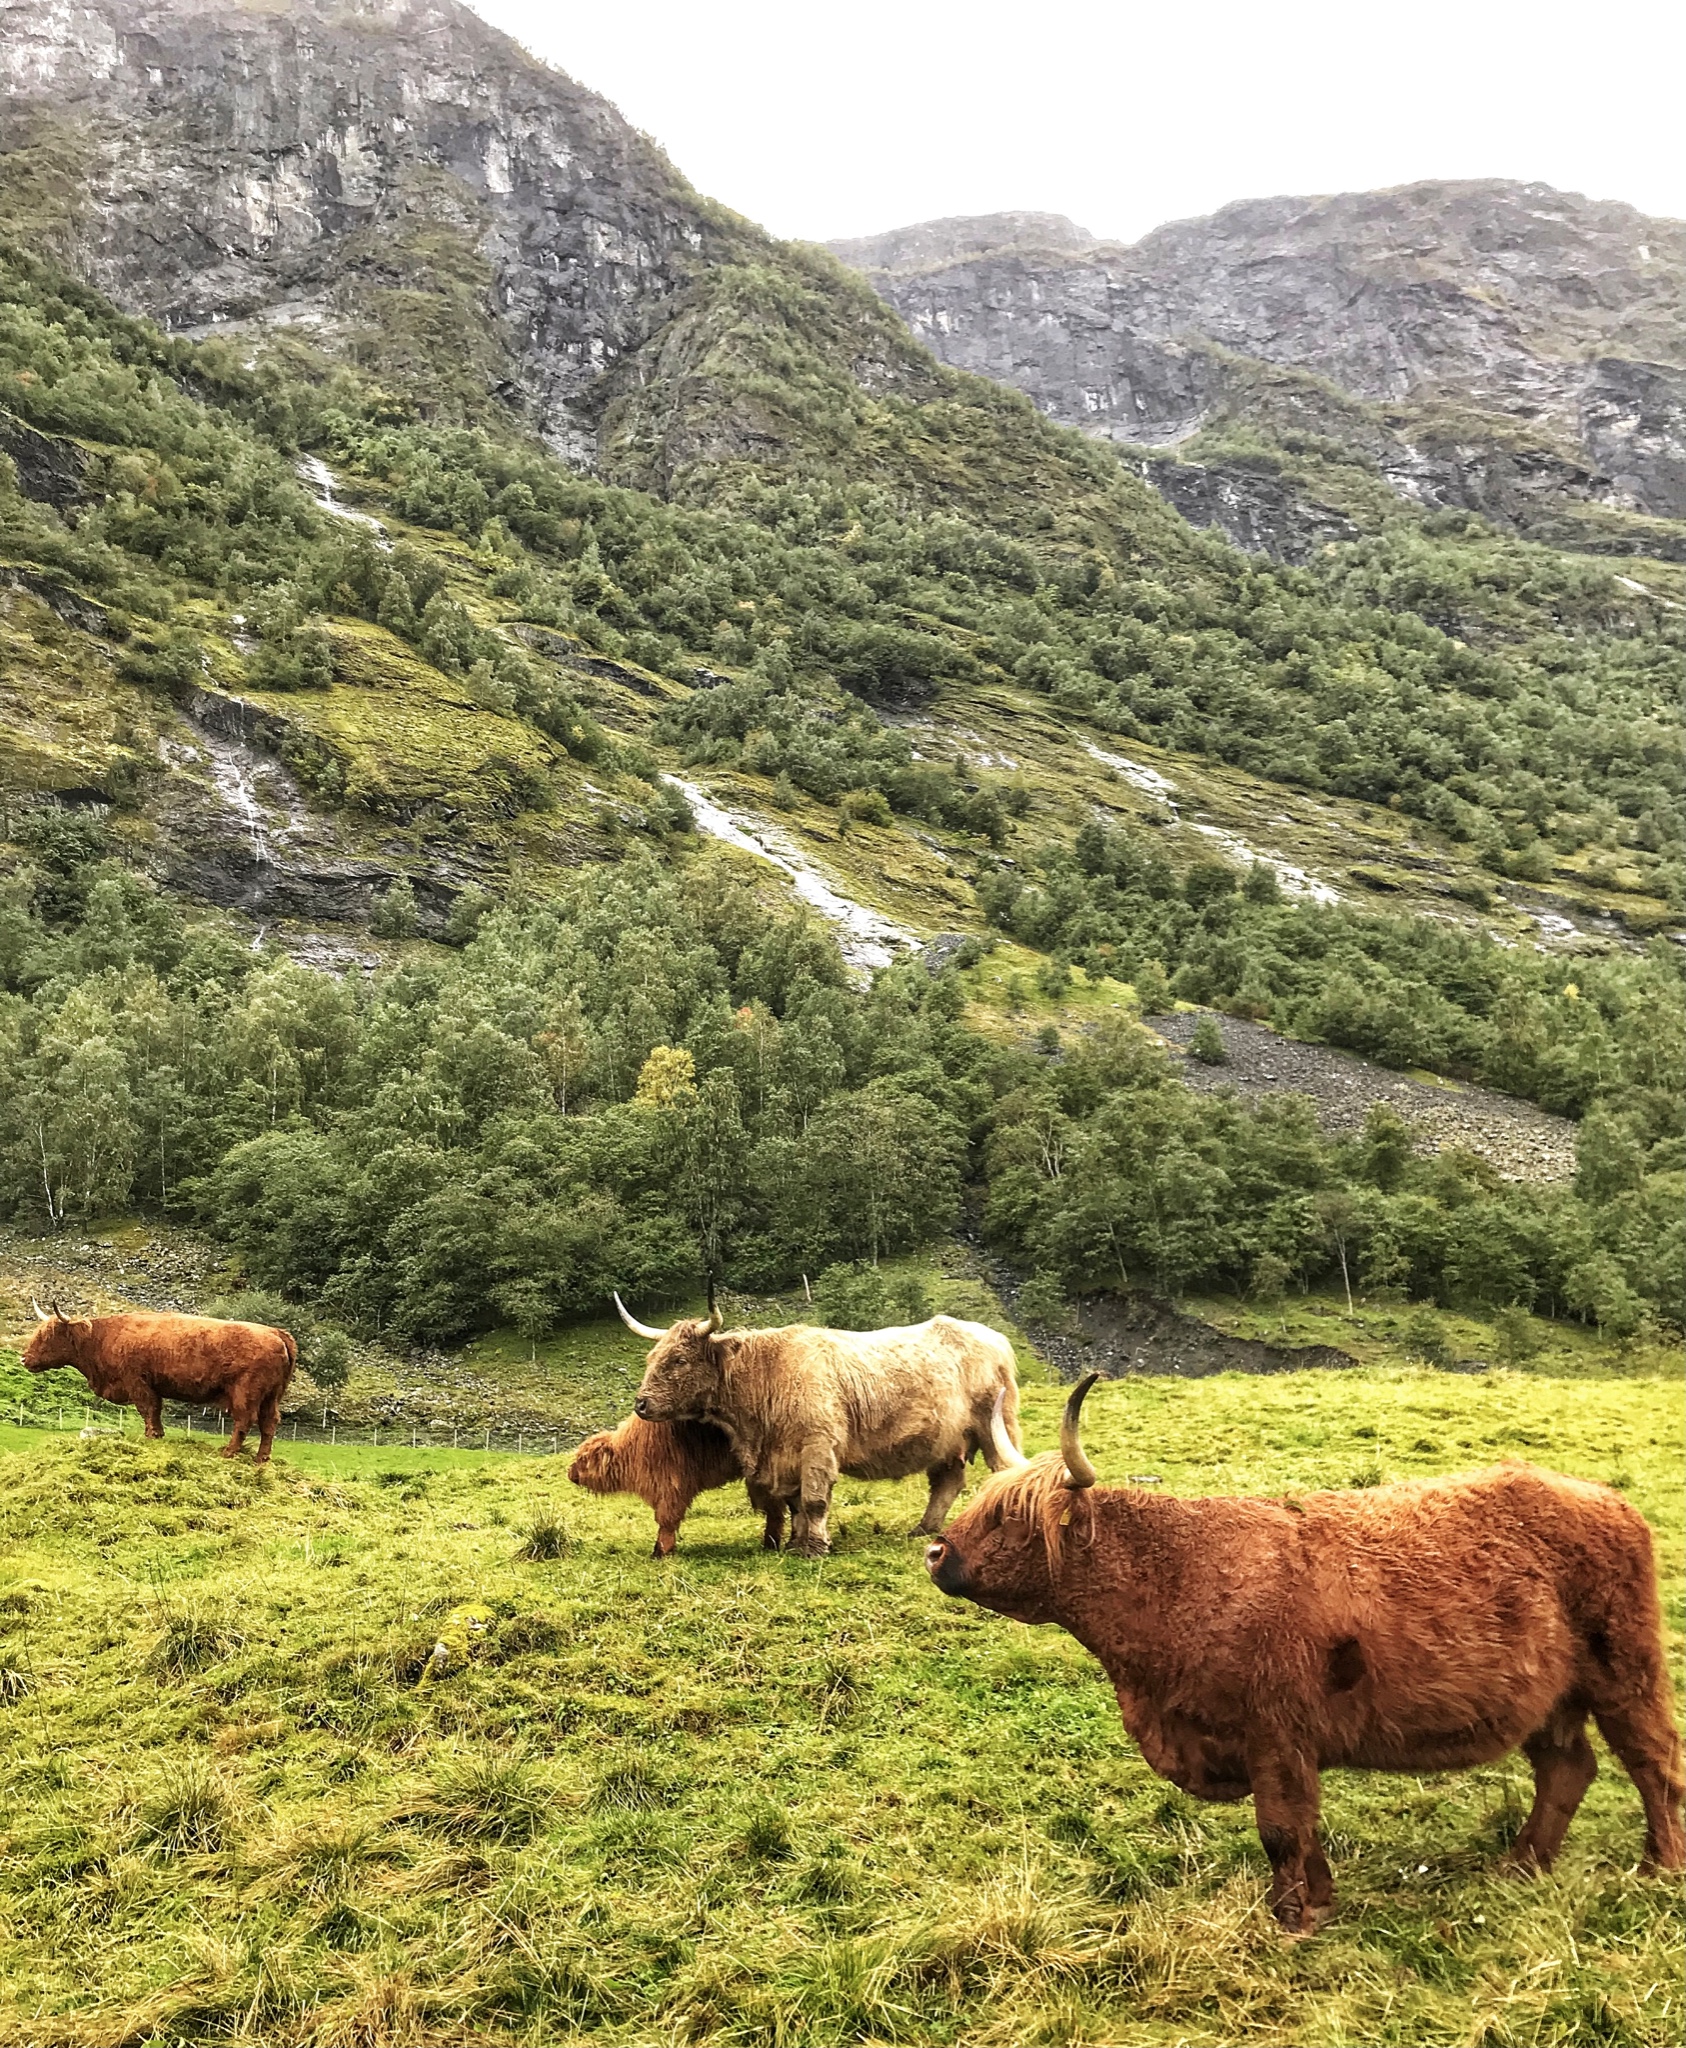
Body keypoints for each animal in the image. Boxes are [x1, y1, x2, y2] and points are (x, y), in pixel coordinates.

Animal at [23, 1302, 299, 1466]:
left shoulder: (137, 1383)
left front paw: (151, 1436)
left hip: (246, 1393)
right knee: (269, 1423)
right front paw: (158, 1434)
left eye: (48, 1336)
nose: (24, 1358)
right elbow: (155, 1411)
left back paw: (228, 1452)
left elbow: (148, 1410)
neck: (103, 1338)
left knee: (244, 1421)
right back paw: (261, 1458)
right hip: (272, 1397)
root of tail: (275, 1332)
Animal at [561, 1417, 786, 1556]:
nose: (570, 1473)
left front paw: (661, 1552)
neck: (632, 1451)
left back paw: (770, 1544)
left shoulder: (670, 1488)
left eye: (582, 1459)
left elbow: (667, 1522)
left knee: (775, 1510)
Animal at [614, 1294, 1020, 1548]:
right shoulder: (785, 1458)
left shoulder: (817, 1445)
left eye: (679, 1360)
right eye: (651, 1357)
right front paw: (796, 1542)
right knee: (947, 1482)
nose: (641, 1404)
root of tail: (993, 1335)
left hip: (996, 1424)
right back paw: (923, 1529)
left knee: (1002, 1470)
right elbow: (794, 1504)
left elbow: (813, 1501)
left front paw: (814, 1547)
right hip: (946, 1439)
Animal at [930, 1376, 1679, 1933]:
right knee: (1568, 1770)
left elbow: (1282, 1830)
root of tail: (1606, 1499)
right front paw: (1316, 1900)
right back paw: (1522, 1865)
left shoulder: (1277, 1734)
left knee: (1654, 1765)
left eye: (1010, 1517)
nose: (936, 1551)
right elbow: (1301, 1830)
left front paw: (1294, 1915)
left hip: (1626, 1671)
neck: (1176, 1576)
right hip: (1550, 1697)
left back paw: (1658, 1869)